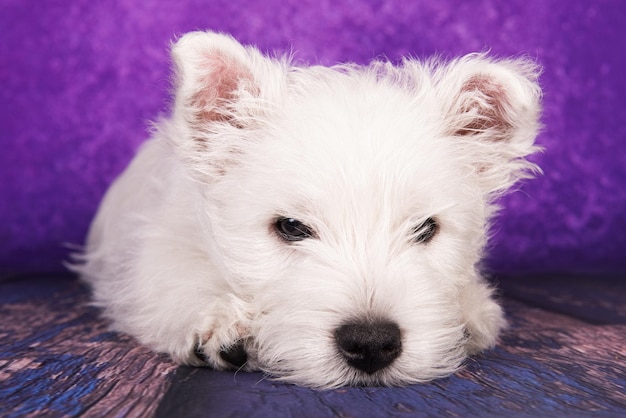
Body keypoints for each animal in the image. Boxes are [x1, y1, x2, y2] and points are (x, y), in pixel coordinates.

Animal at [74, 31, 540, 388]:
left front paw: (469, 313)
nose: (371, 344)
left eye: (426, 228)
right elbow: (174, 281)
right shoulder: (151, 252)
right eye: (291, 227)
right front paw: (222, 323)